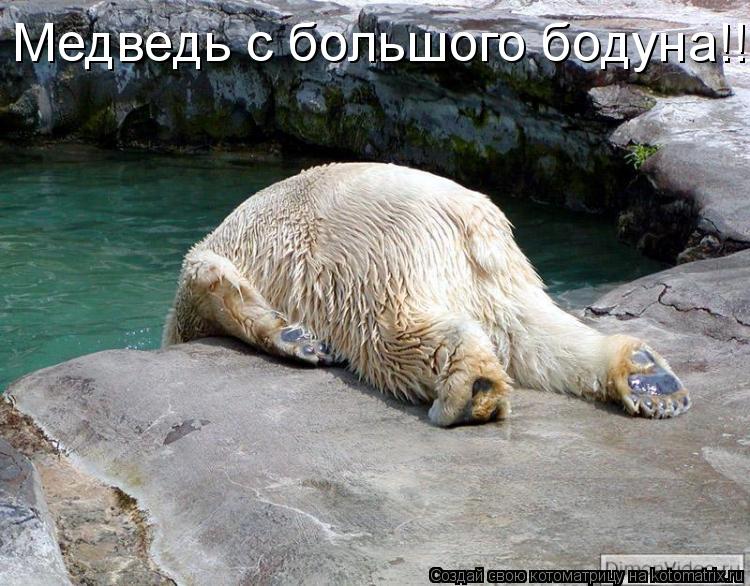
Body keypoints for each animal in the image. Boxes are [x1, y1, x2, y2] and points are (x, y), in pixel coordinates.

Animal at [163, 162, 690, 426]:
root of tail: (468, 216)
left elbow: (204, 283)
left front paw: (295, 338)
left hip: (363, 252)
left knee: (387, 329)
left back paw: (471, 389)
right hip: (499, 272)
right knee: (531, 333)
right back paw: (648, 379)